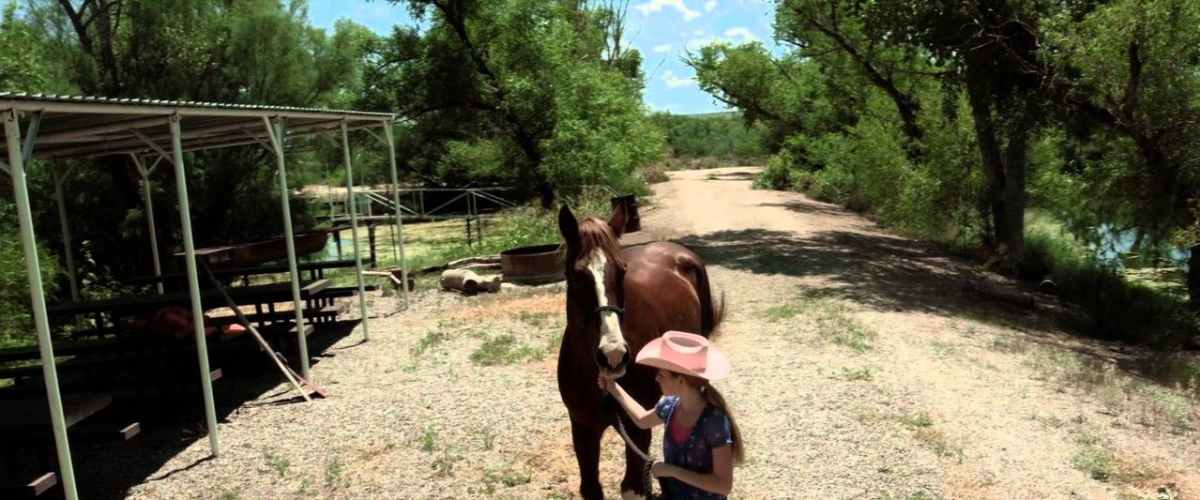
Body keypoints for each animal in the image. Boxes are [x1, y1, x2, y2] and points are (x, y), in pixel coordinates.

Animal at [556, 202, 723, 500]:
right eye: (575, 276)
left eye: (622, 271)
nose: (613, 355)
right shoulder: (582, 427)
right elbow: (591, 487)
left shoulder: (636, 429)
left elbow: (632, 487)